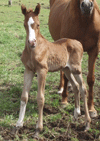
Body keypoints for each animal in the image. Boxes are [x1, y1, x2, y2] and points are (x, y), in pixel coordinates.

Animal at [15, 3, 90, 135]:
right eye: (24, 24)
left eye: (38, 24)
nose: (31, 42)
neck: (33, 50)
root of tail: (79, 43)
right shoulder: (28, 70)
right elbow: (24, 97)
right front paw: (19, 123)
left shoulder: (42, 70)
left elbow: (40, 98)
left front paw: (39, 128)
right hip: (66, 69)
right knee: (75, 86)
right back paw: (76, 114)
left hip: (76, 69)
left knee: (83, 88)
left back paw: (87, 123)